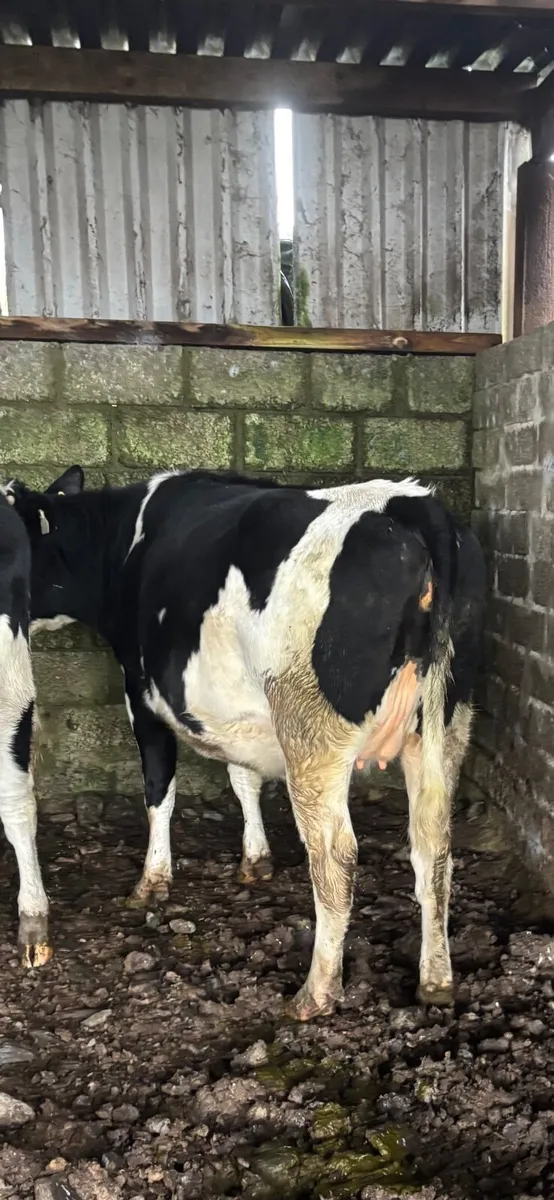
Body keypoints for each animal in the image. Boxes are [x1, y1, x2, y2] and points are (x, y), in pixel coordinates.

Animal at [7, 466, 486, 1017]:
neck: (121, 542)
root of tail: (412, 503)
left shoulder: (141, 693)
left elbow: (158, 790)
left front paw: (152, 881)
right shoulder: (233, 711)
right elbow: (242, 777)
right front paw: (255, 860)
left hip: (311, 729)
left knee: (335, 857)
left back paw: (316, 992)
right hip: (446, 724)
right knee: (434, 845)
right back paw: (436, 979)